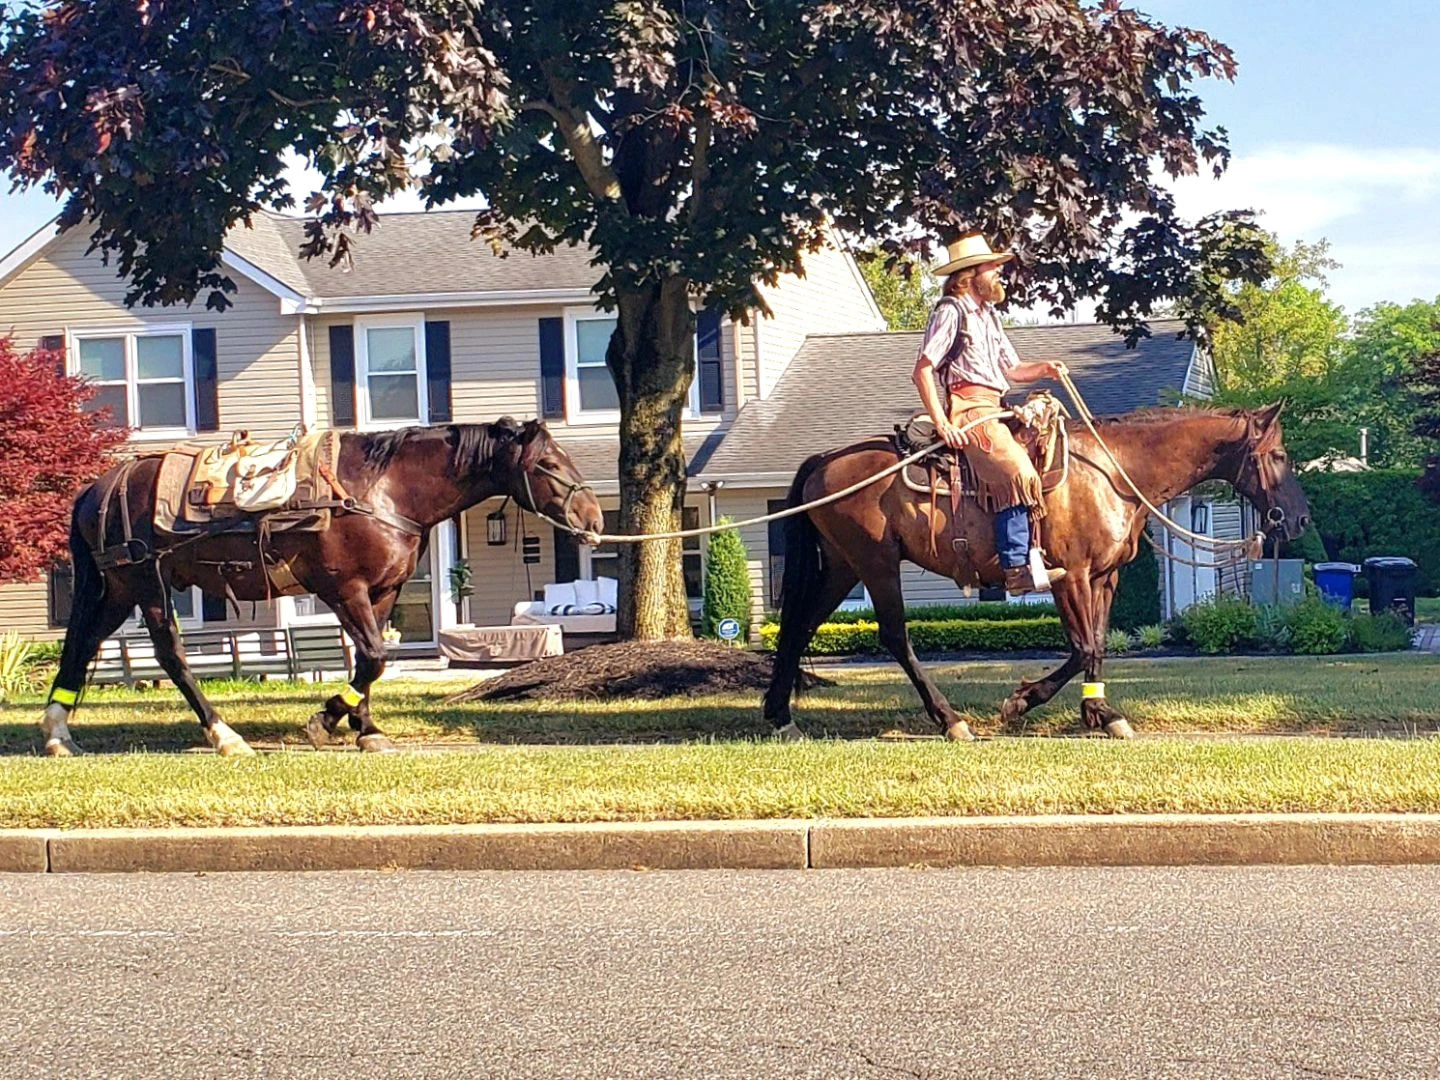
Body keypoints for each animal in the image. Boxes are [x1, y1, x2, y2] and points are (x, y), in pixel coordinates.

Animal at [40, 417, 601, 754]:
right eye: (548, 464)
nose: (593, 516)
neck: (382, 490)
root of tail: (98, 488)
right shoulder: (343, 589)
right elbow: (372, 657)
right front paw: (325, 721)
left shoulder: (383, 593)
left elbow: (372, 661)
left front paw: (367, 730)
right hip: (148, 585)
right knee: (171, 656)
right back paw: (225, 735)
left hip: (116, 590)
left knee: (80, 645)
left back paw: (58, 734)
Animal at [766, 406, 1319, 743]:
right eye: (1278, 455)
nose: (1299, 519)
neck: (1113, 473)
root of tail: (824, 460)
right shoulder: (1067, 576)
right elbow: (1082, 647)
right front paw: (1022, 702)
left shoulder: (1103, 579)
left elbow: (1098, 644)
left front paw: (1100, 714)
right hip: (875, 564)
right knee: (895, 636)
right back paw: (950, 720)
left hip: (843, 566)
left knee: (799, 626)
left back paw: (779, 717)